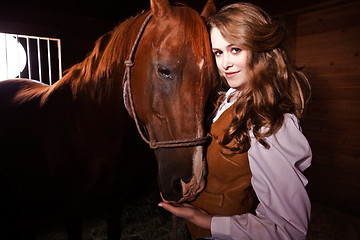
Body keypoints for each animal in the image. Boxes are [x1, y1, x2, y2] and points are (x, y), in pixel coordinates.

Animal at [0, 0, 217, 239]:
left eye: (212, 82)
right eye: (164, 70)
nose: (192, 185)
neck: (92, 124)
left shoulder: (116, 198)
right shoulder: (72, 208)